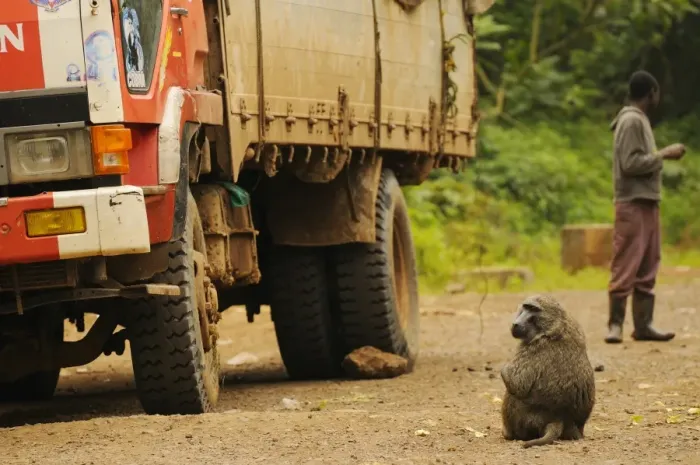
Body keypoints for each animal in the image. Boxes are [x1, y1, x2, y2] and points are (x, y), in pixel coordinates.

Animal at [500, 294, 596, 448]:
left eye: (533, 310)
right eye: (525, 307)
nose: (516, 324)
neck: (556, 324)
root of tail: (558, 418)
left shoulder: (531, 346)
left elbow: (517, 385)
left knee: (512, 395)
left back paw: (508, 434)